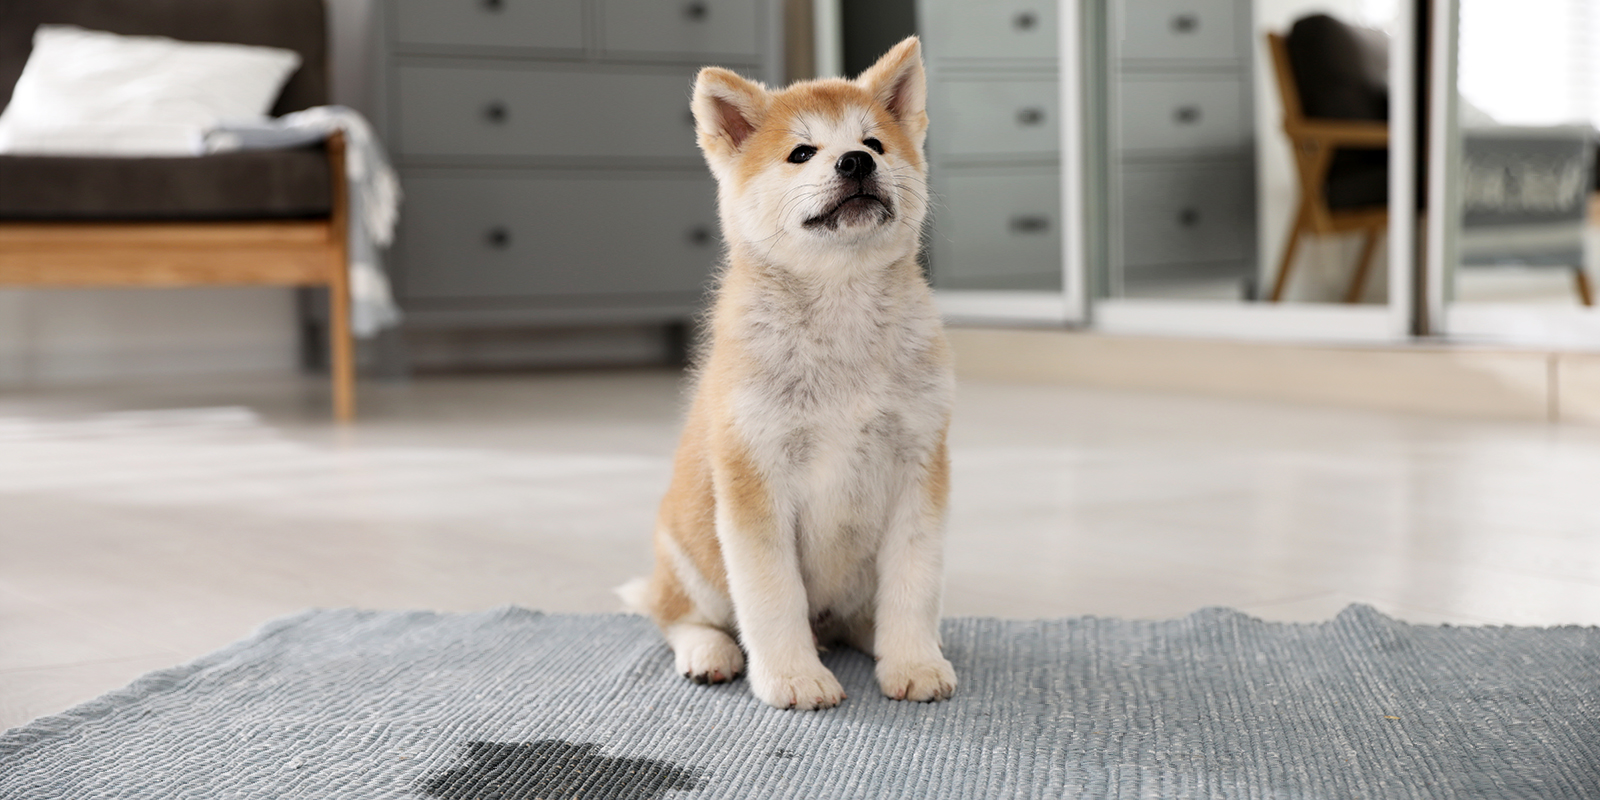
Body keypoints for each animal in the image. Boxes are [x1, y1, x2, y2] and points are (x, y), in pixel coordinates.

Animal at [620, 39, 947, 713]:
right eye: (802, 153)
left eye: (874, 143)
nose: (855, 162)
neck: (841, 321)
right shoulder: (755, 479)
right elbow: (773, 598)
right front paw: (794, 679)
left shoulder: (920, 467)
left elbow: (914, 584)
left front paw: (914, 662)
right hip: (689, 554)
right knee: (677, 616)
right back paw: (708, 651)